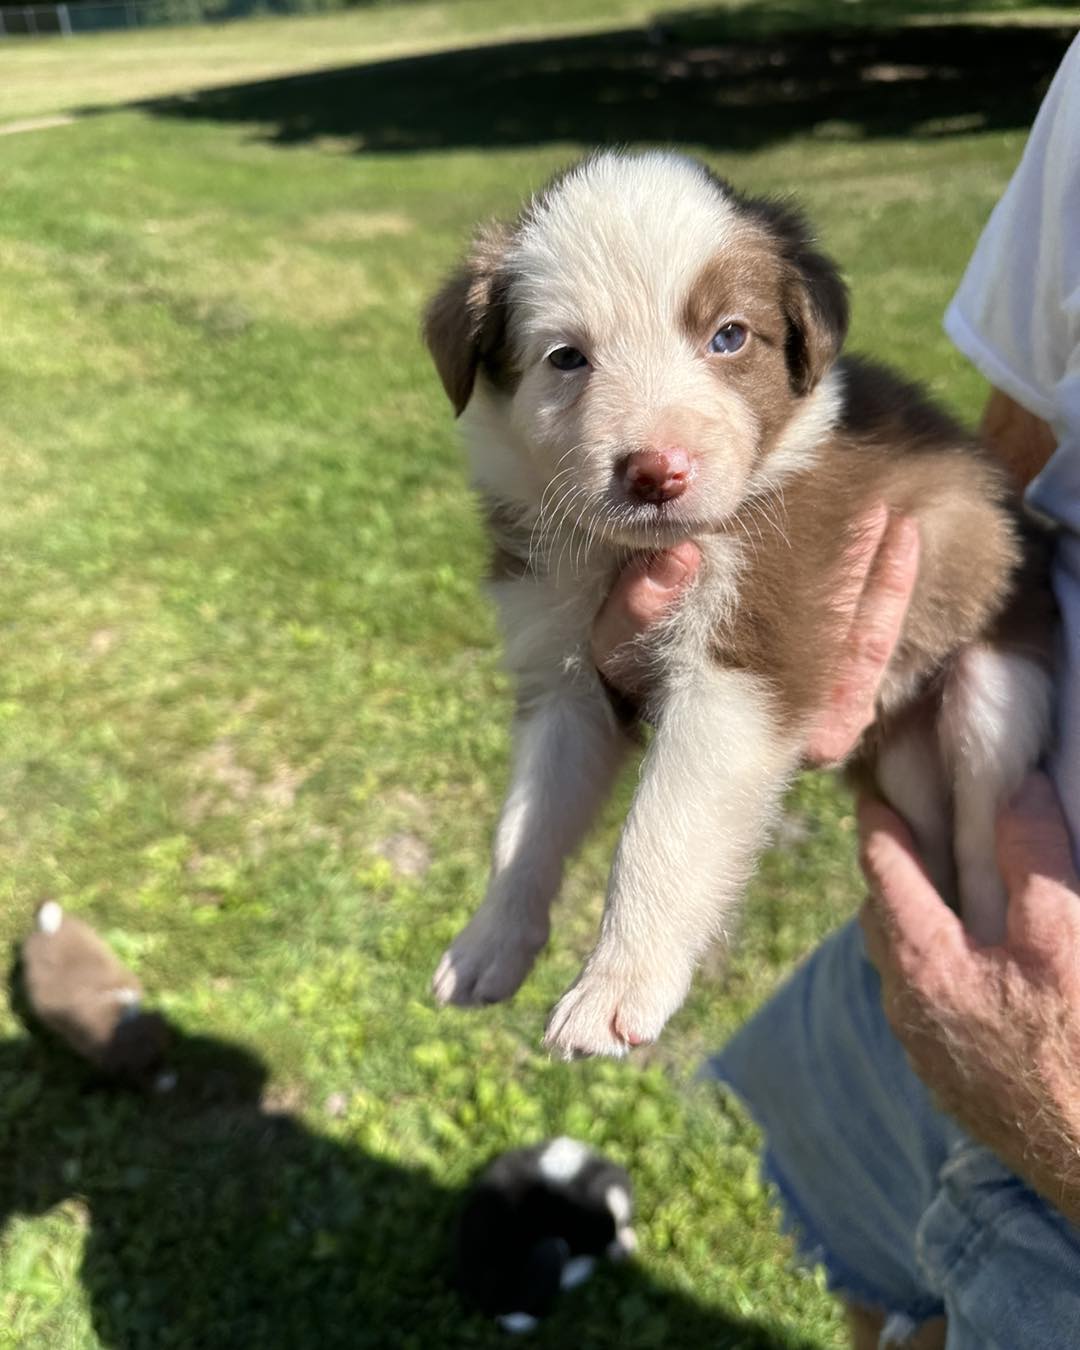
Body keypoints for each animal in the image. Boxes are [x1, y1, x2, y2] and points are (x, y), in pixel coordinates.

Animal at [423, 145, 1053, 1053]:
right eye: (567, 357)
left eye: (728, 336)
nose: (656, 472)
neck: (628, 554)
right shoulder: (562, 673)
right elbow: (525, 824)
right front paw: (488, 941)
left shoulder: (745, 660)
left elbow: (661, 829)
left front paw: (616, 987)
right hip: (902, 758)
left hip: (996, 688)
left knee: (980, 837)